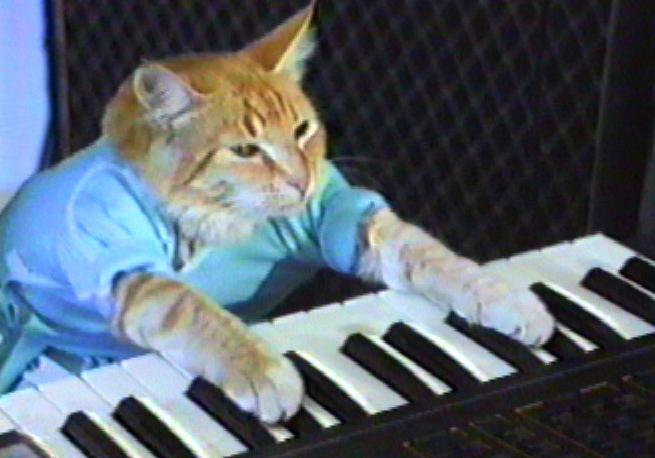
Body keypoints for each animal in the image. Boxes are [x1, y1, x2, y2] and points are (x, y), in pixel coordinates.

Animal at [0, 1, 554, 424]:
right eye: (246, 151)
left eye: (303, 130)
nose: (301, 180)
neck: (224, 220)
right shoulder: (130, 274)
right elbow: (197, 310)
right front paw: (264, 372)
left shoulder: (346, 220)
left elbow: (429, 254)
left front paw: (507, 299)